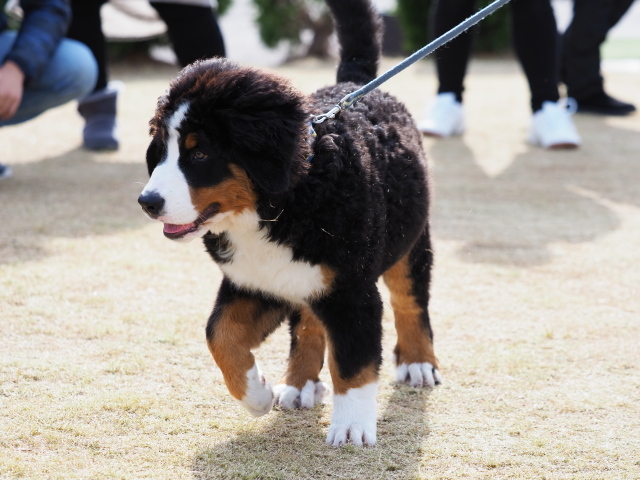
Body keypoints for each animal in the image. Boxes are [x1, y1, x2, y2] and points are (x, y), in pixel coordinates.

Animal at [138, 0, 440, 446]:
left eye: (199, 154)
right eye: (160, 151)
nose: (148, 202)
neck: (281, 204)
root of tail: (351, 84)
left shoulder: (351, 290)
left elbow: (353, 363)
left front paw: (351, 425)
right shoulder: (253, 280)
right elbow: (219, 334)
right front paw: (255, 394)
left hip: (410, 238)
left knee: (410, 299)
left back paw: (418, 362)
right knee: (309, 324)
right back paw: (299, 384)